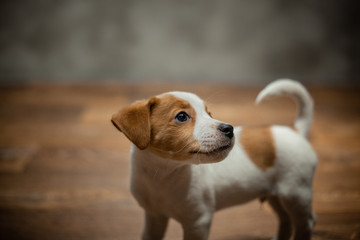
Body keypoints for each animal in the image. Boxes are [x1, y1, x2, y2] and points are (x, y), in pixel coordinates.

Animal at [111, 80, 316, 240]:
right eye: (181, 116)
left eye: (209, 114)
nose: (229, 129)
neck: (165, 174)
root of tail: (296, 130)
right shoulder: (154, 217)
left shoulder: (197, 222)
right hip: (276, 195)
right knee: (286, 221)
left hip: (296, 193)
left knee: (306, 223)